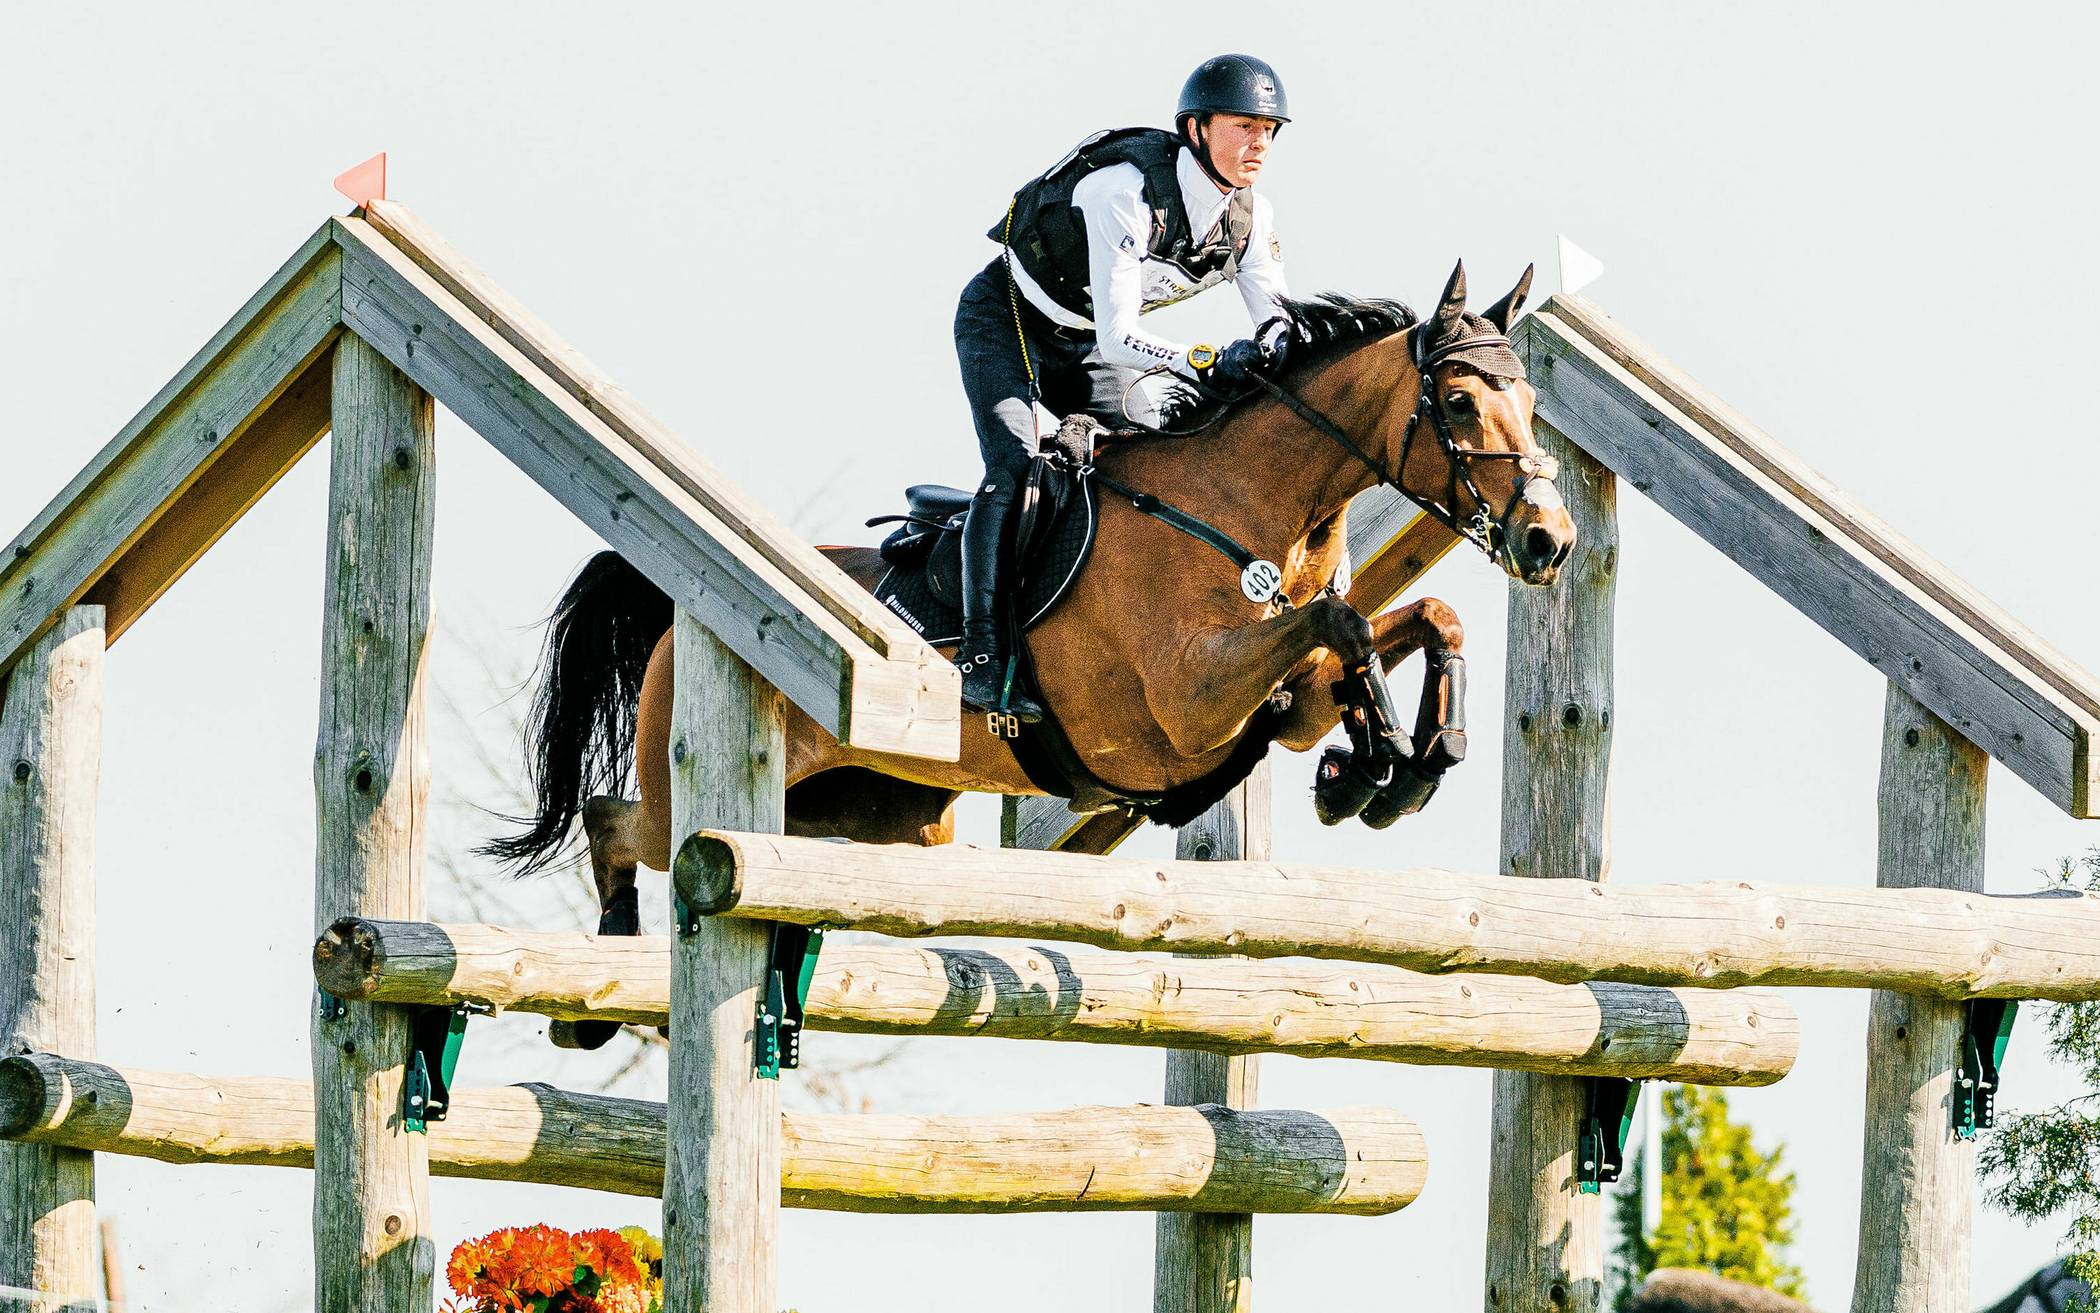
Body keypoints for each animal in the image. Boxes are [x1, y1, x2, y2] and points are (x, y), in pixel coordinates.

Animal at [487, 261, 1579, 1037]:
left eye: (1531, 405)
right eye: (1461, 403)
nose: (1550, 539)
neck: (1249, 506)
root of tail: (681, 619)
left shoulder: (1278, 693)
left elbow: (1422, 621)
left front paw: (1404, 761)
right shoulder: (1187, 702)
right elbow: (1342, 627)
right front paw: (1382, 760)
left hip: (878, 818)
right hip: (699, 790)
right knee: (621, 823)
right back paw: (603, 983)